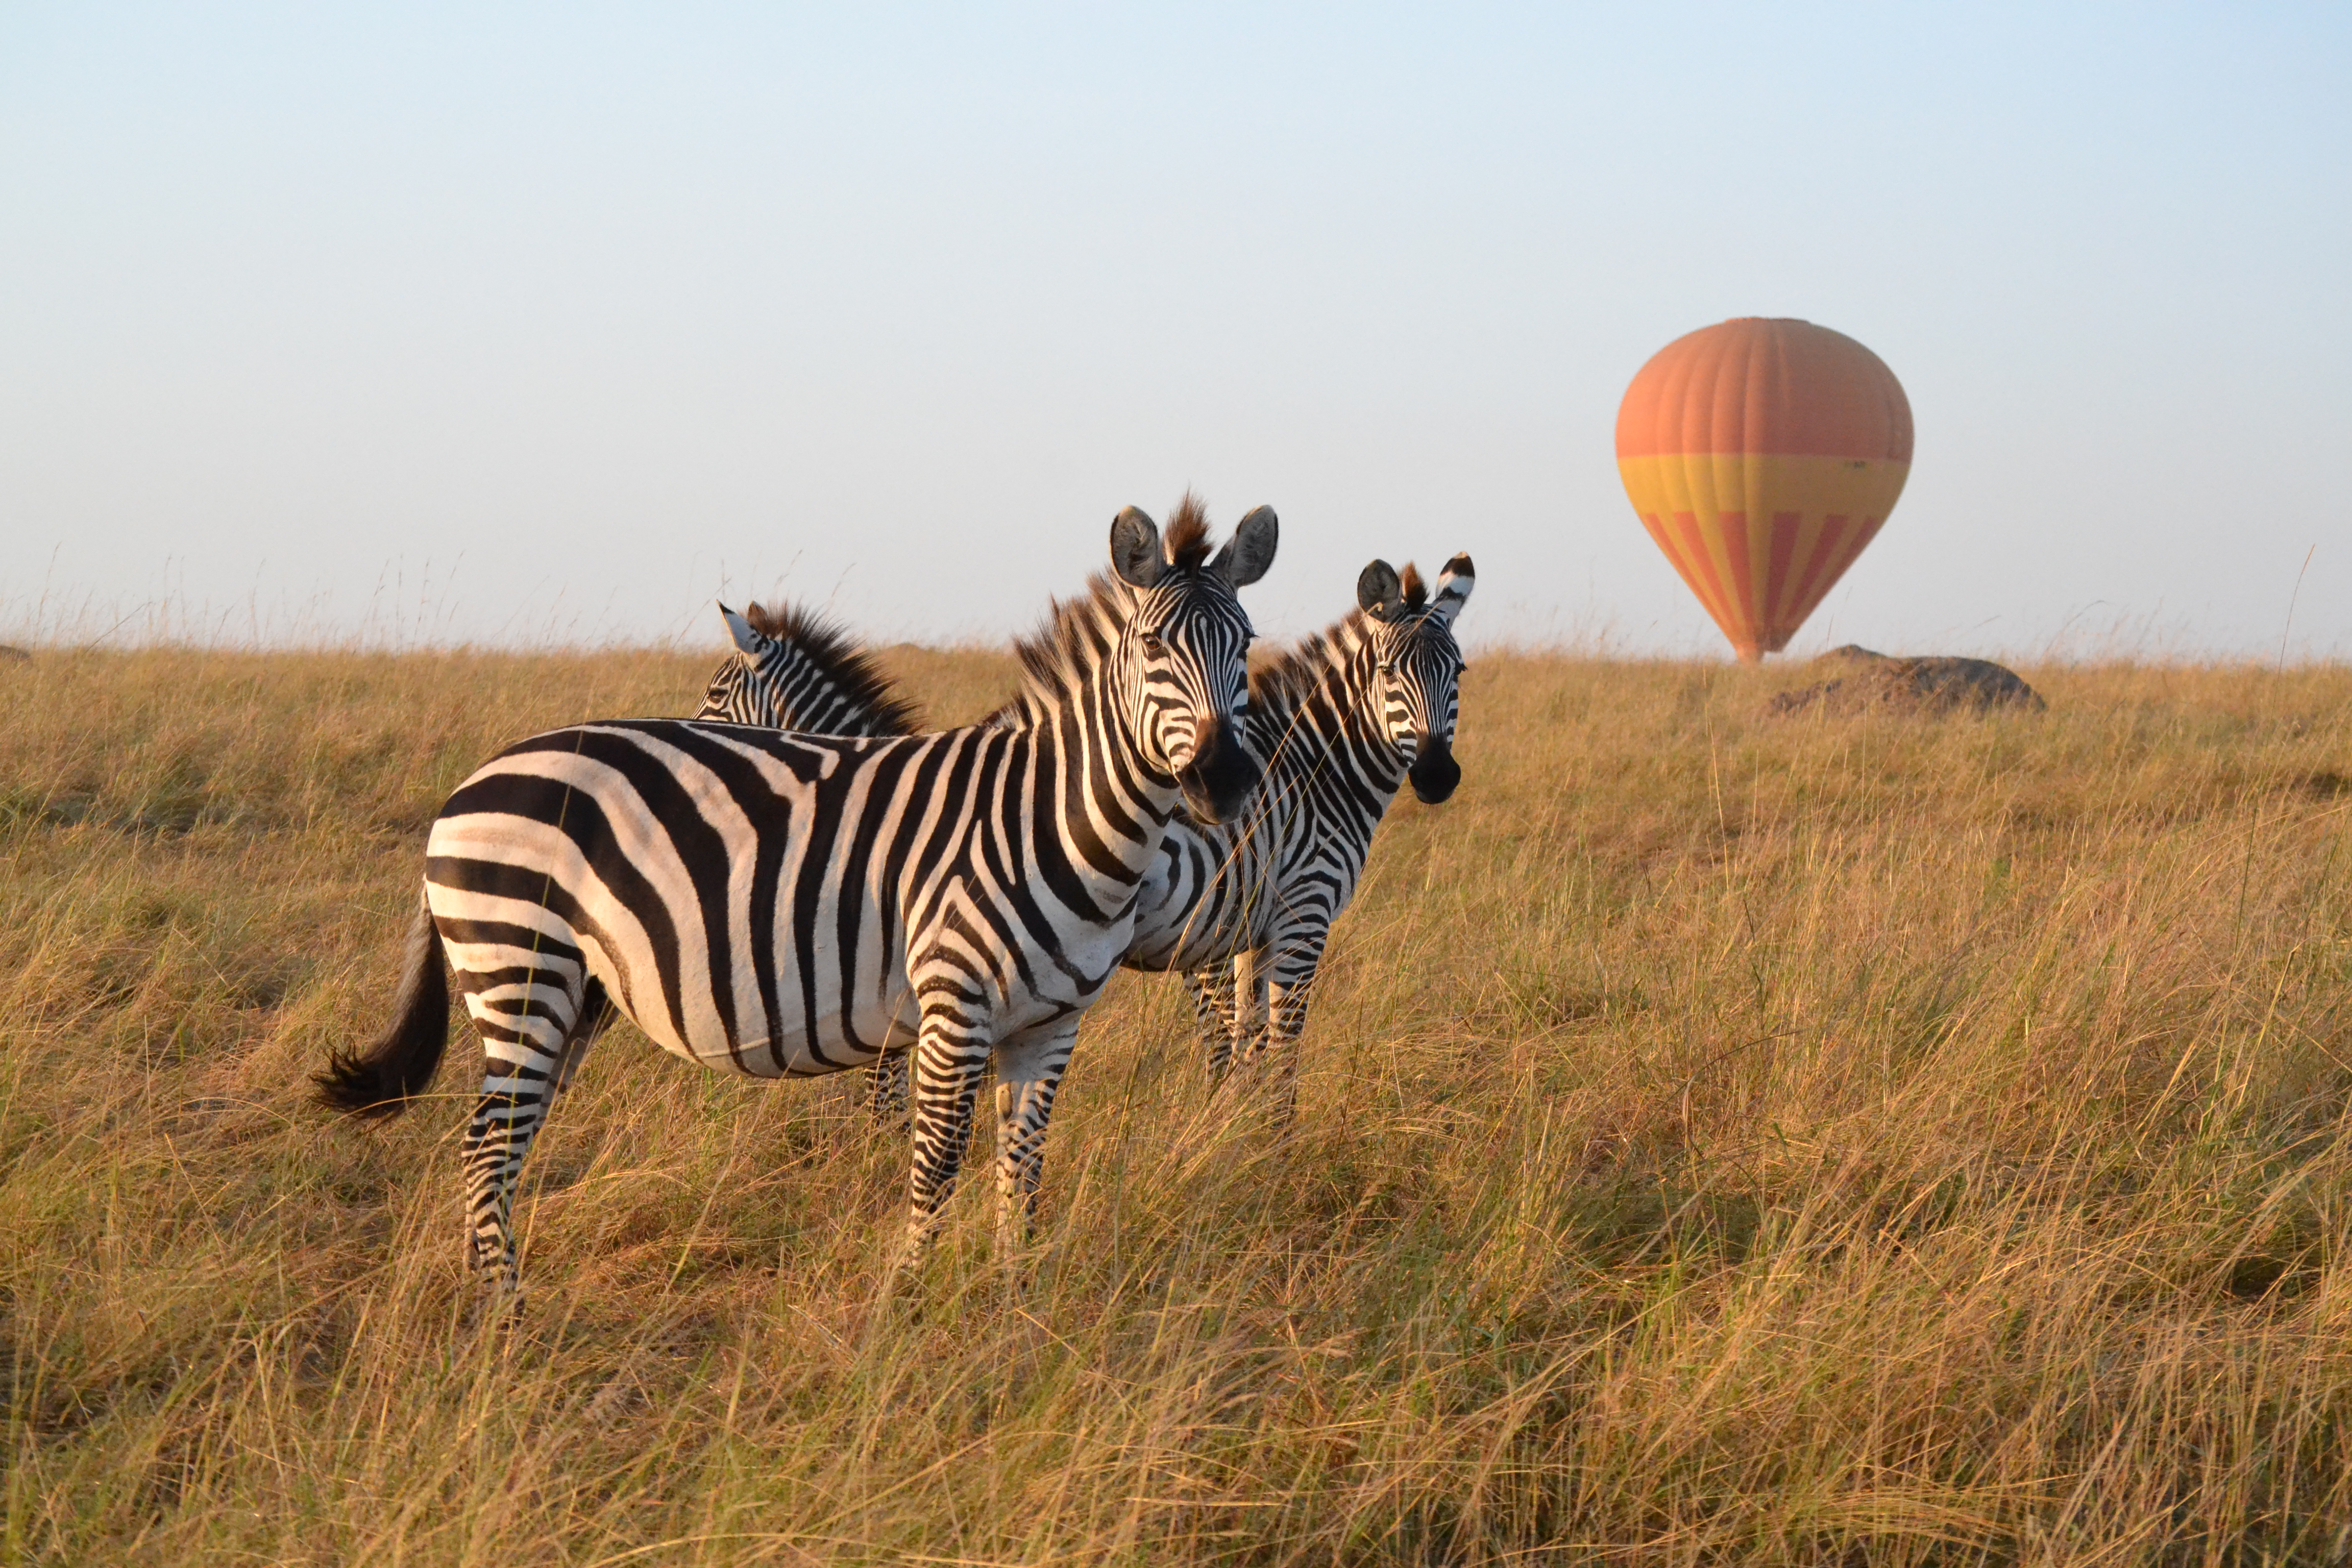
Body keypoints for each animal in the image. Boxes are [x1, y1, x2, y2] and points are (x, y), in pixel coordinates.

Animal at [315, 501, 1278, 1294]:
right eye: (1152, 650)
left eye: (1246, 644)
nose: (1224, 782)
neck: (1044, 815)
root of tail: (470, 782)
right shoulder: (948, 1004)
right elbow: (933, 1158)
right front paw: (905, 1307)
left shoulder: (1049, 1023)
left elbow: (1023, 1166)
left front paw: (1013, 1307)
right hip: (520, 966)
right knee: (485, 1146)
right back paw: (503, 1323)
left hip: (567, 992)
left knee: (502, 1143)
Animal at [699, 553, 1475, 1124]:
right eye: (1390, 673)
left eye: (1460, 672)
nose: (1438, 777)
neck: (1314, 775)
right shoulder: (1298, 920)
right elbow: (1272, 1054)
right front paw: (1266, 1150)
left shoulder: (1247, 929)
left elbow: (1247, 1050)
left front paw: (1238, 1137)